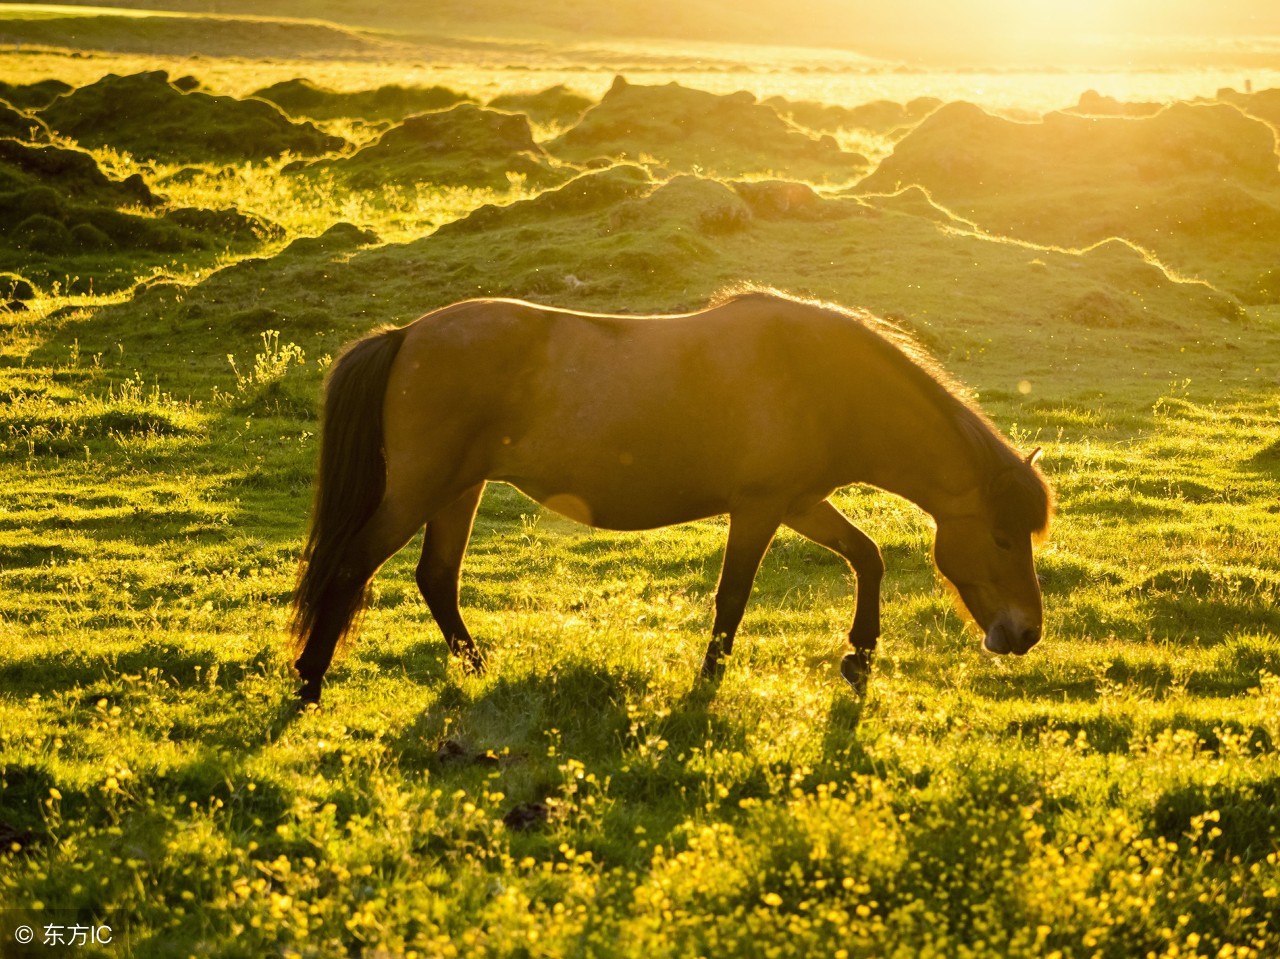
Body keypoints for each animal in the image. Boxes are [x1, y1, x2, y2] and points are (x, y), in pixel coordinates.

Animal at [290, 291, 1049, 701]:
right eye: (1003, 536)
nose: (1026, 634)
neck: (820, 379)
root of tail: (408, 334)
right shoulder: (761, 506)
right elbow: (733, 596)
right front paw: (709, 680)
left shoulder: (799, 501)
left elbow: (867, 556)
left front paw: (858, 659)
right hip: (422, 488)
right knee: (354, 564)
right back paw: (309, 681)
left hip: (458, 488)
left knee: (437, 577)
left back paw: (478, 668)